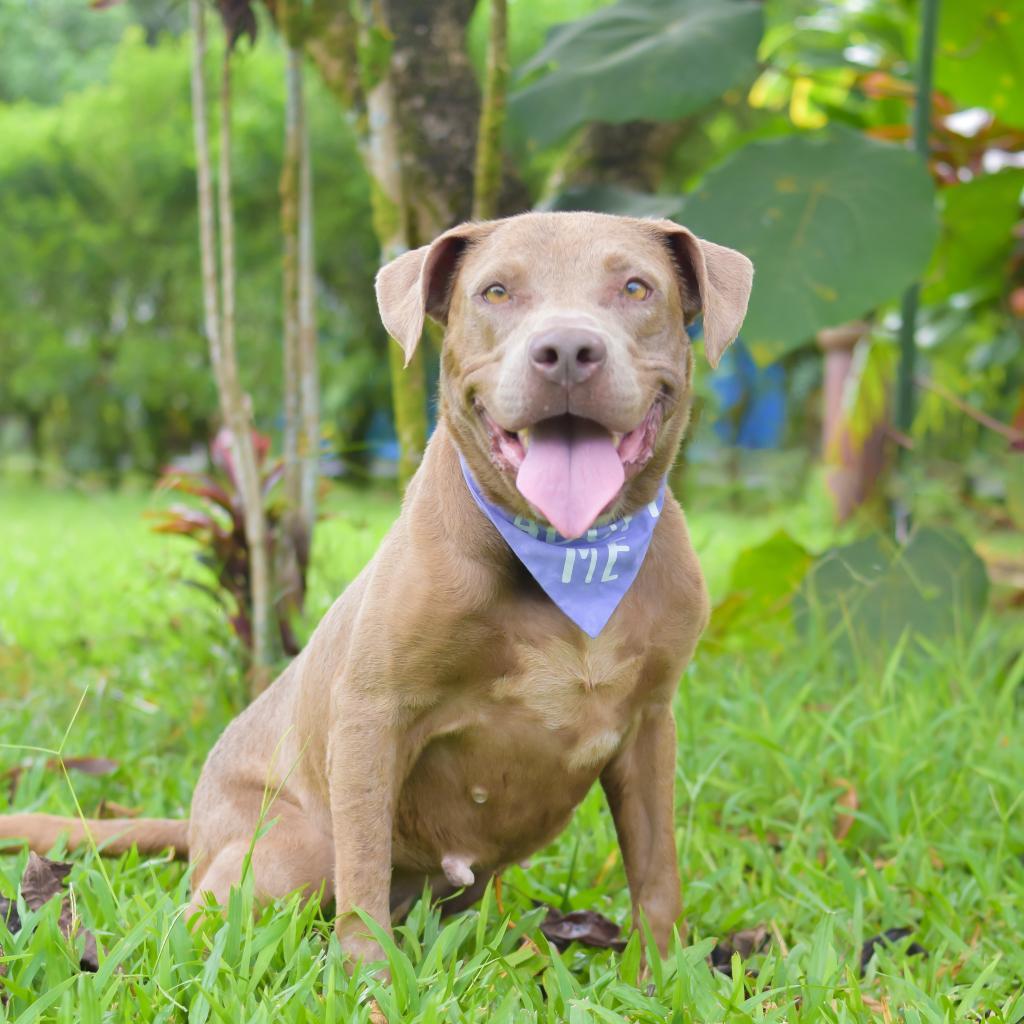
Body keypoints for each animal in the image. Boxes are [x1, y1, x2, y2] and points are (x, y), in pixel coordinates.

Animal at [0, 211, 753, 962]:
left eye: (636, 287)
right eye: (496, 291)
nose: (567, 349)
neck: (568, 561)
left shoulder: (650, 726)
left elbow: (656, 872)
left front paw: (663, 972)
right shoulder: (372, 713)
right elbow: (362, 868)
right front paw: (369, 977)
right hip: (291, 852)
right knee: (204, 917)